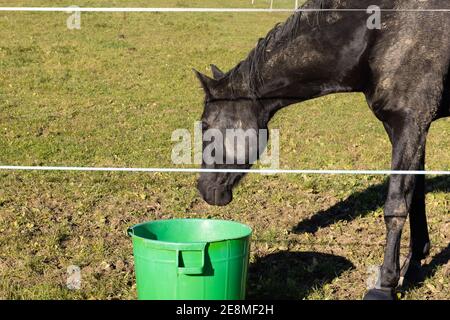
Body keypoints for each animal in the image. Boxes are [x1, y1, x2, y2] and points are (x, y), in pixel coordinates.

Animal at [195, 0, 448, 300]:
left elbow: (396, 205)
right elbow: (415, 196)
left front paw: (385, 284)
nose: (204, 188)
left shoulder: (410, 123)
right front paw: (414, 264)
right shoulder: (404, 128)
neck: (381, 31)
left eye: (205, 125)